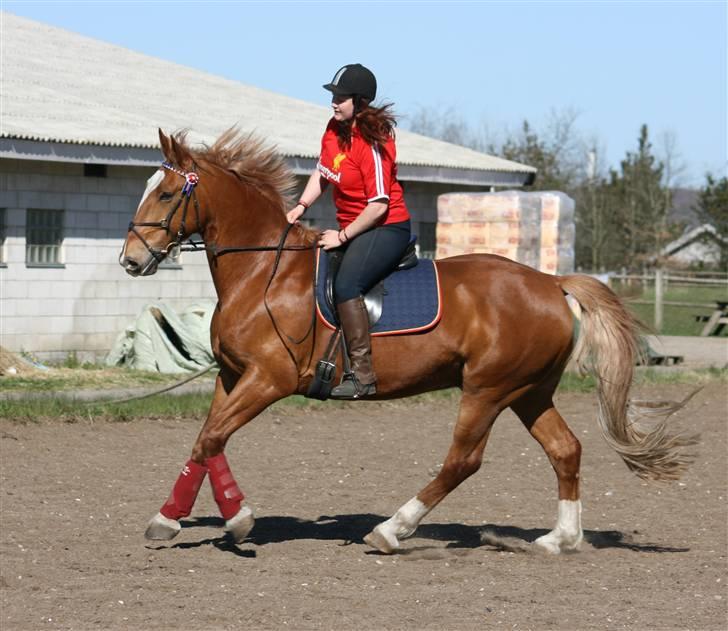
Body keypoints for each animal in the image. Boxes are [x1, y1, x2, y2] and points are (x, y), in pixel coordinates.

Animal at [118, 131, 692, 556]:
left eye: (166, 194)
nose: (130, 259)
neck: (263, 271)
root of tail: (551, 282)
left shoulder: (268, 380)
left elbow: (213, 437)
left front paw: (236, 519)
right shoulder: (233, 375)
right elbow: (205, 439)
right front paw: (171, 518)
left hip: (487, 389)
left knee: (463, 461)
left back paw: (392, 529)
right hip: (528, 391)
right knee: (565, 450)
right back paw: (559, 539)